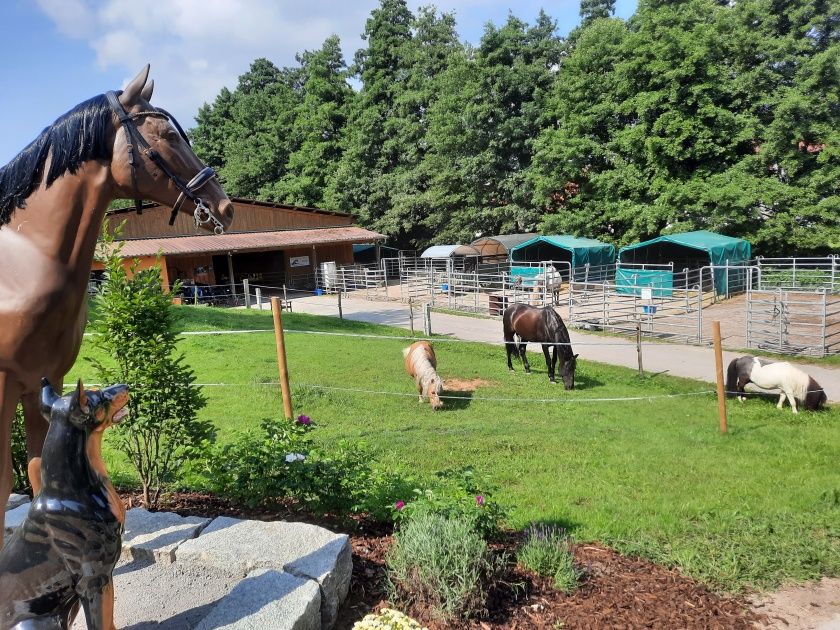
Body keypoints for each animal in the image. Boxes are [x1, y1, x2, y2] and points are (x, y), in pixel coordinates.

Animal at [0, 65, 233, 544]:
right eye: (168, 134)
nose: (224, 206)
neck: (25, 263)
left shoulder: (41, 383)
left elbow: (36, 472)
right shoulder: (1, 384)